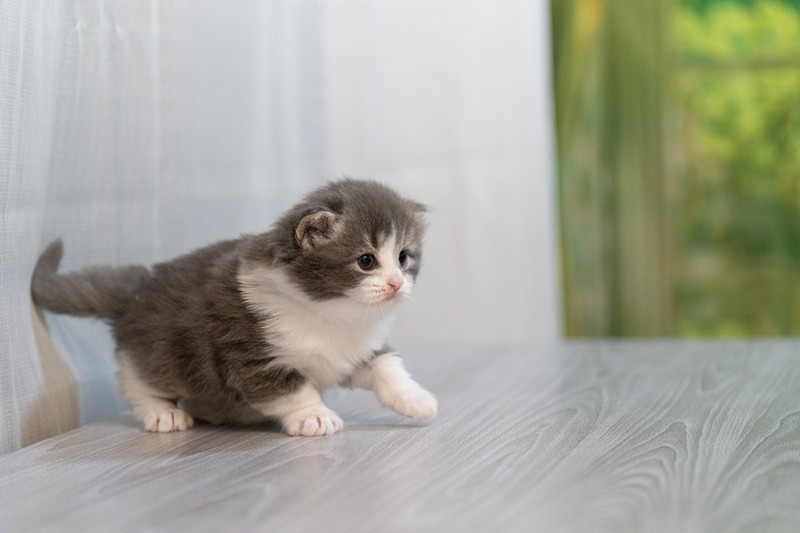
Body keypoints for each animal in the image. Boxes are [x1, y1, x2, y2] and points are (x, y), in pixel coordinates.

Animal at [31, 178, 437, 437]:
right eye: (366, 261)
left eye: (403, 258)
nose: (397, 283)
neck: (333, 313)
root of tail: (138, 288)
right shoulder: (250, 356)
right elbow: (294, 391)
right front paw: (315, 417)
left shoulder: (356, 350)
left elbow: (387, 367)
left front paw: (416, 399)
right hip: (159, 349)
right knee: (137, 377)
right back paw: (163, 412)